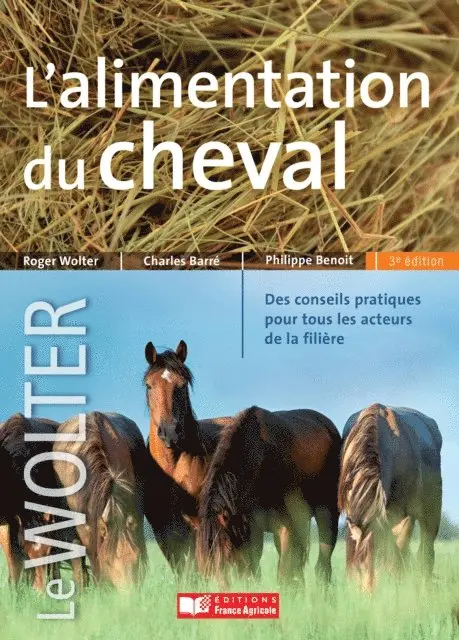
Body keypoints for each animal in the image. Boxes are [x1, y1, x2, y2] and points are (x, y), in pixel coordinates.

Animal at [190, 405, 342, 586]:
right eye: (203, 565)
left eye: (226, 555)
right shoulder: (251, 529)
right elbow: (254, 570)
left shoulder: (285, 526)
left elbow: (283, 573)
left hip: (327, 512)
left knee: (322, 564)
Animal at [338, 403, 442, 592]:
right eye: (361, 565)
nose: (370, 594)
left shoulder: (406, 514)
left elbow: (398, 554)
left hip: (432, 513)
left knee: (425, 552)